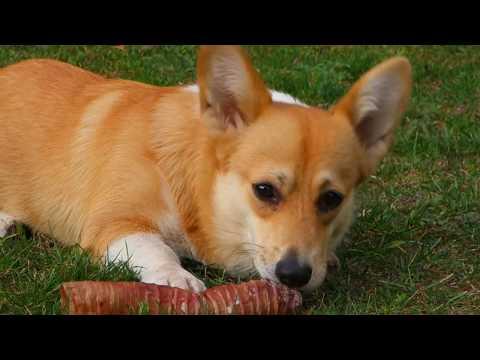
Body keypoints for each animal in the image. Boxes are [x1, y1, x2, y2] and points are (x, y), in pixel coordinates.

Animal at [0, 45, 412, 292]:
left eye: (331, 199)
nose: (294, 276)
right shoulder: (113, 225)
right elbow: (156, 248)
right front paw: (177, 278)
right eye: (264, 190)